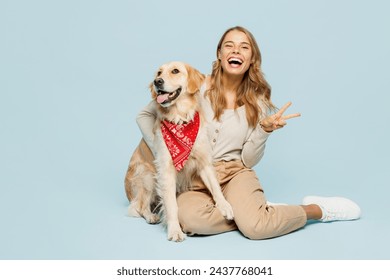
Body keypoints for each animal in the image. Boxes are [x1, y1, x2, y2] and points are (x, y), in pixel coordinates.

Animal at [126, 62, 233, 242]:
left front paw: (224, 205)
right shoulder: (166, 170)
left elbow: (215, 186)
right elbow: (171, 204)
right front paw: (175, 230)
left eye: (175, 71)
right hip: (147, 176)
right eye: (159, 73)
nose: (157, 82)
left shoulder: (204, 161)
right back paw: (150, 216)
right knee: (138, 206)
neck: (180, 118)